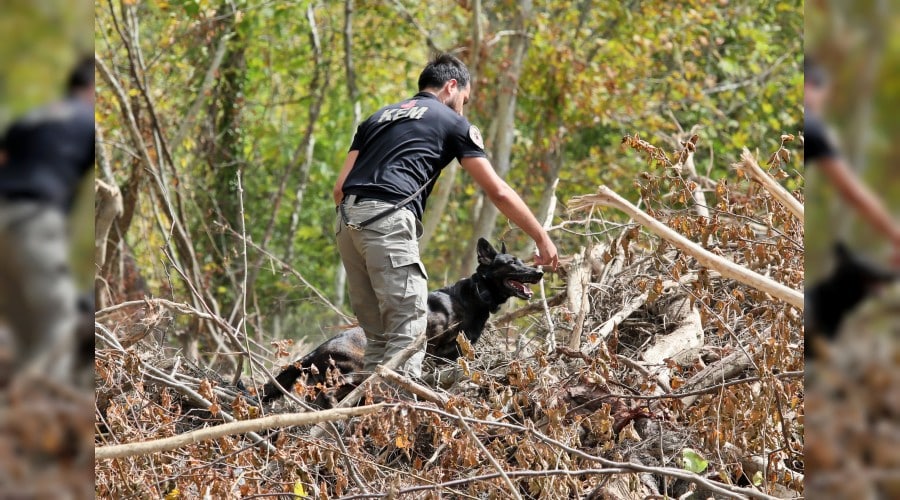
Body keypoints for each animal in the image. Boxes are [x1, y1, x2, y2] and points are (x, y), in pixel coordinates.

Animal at [260, 236, 540, 404]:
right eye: (512, 263)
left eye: (521, 260)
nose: (539, 272)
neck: (477, 294)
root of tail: (317, 350)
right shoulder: (434, 349)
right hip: (360, 369)